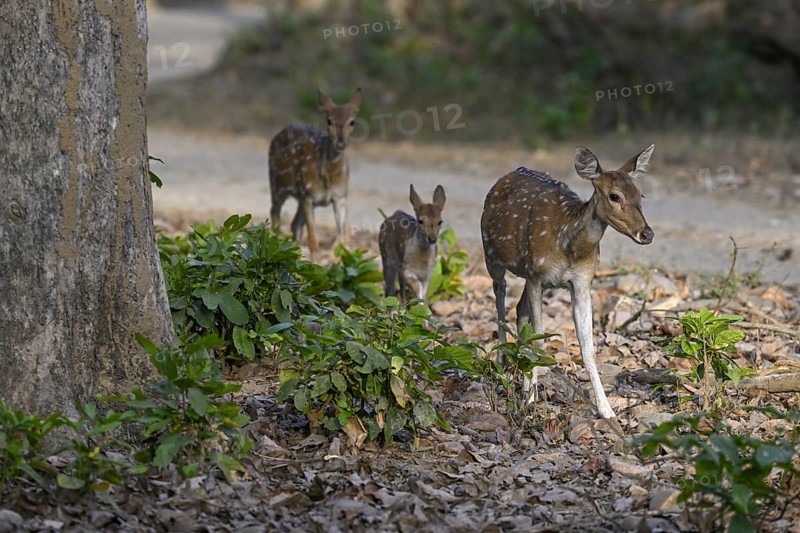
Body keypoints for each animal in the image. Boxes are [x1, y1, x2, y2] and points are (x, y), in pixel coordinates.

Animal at [269, 87, 362, 262]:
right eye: (329, 120)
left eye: (352, 121)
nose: (340, 143)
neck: (329, 177)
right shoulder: (309, 197)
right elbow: (313, 241)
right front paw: (315, 267)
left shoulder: (340, 196)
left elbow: (344, 238)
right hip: (278, 185)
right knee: (274, 212)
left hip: (299, 195)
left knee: (295, 225)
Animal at [480, 145, 655, 419]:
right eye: (615, 196)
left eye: (641, 195)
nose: (647, 234)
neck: (568, 247)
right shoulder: (536, 276)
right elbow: (540, 337)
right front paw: (531, 401)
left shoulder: (582, 282)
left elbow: (587, 346)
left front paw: (606, 409)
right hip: (492, 255)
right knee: (500, 300)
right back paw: (503, 366)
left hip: (525, 272)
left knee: (519, 310)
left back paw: (522, 381)